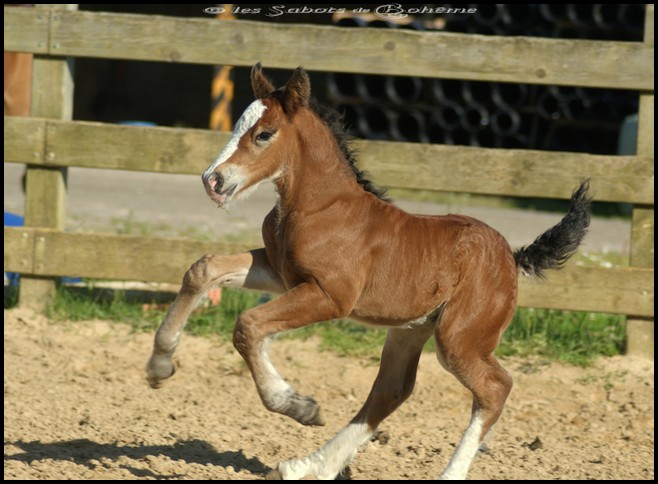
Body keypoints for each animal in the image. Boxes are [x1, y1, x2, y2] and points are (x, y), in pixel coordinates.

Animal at [145, 64, 588, 480]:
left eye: (264, 134)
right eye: (239, 125)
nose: (212, 180)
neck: (319, 207)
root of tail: (513, 257)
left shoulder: (329, 296)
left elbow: (248, 325)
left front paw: (297, 405)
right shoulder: (280, 272)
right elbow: (203, 270)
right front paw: (159, 366)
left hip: (458, 339)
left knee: (495, 388)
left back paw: (445, 471)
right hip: (410, 330)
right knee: (391, 391)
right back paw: (308, 466)